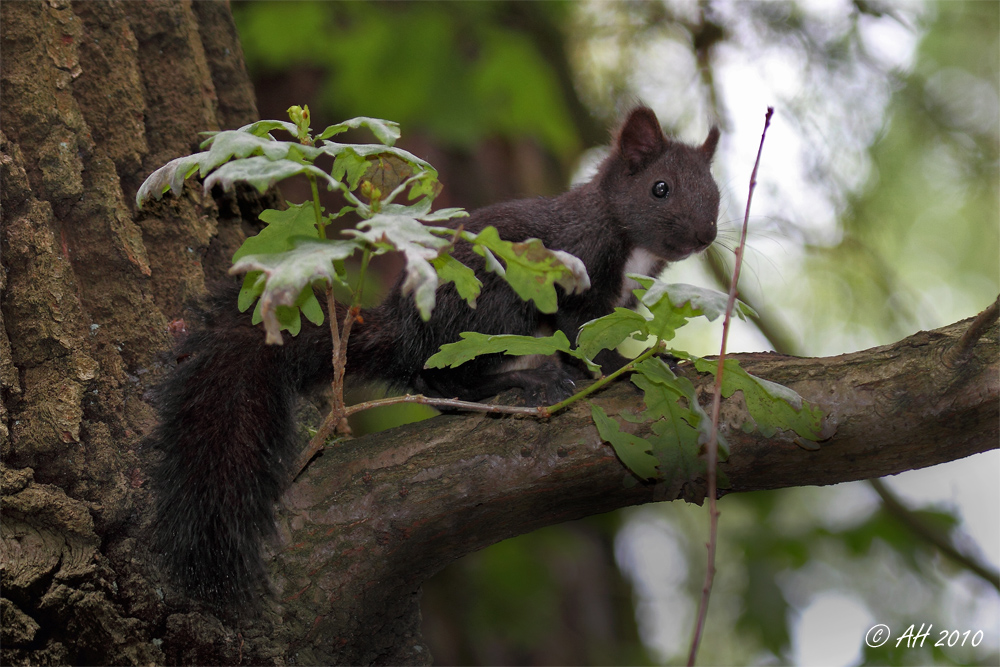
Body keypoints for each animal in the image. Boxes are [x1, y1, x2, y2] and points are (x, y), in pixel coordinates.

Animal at [150, 105, 720, 612]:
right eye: (660, 188)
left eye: (715, 193)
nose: (705, 236)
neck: (629, 241)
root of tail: (402, 333)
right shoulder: (575, 277)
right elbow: (587, 342)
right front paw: (632, 371)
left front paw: (659, 362)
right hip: (487, 307)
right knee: (447, 383)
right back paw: (525, 381)